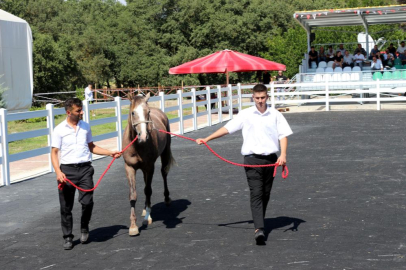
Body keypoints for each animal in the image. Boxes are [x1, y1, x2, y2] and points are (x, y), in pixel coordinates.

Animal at [123, 93, 175, 236]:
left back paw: (165, 199)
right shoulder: (129, 168)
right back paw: (145, 208)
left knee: (164, 173)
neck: (137, 145)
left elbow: (148, 190)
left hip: (164, 154)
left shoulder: (150, 166)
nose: (143, 136)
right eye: (133, 112)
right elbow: (132, 195)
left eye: (148, 112)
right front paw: (133, 226)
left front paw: (147, 218)